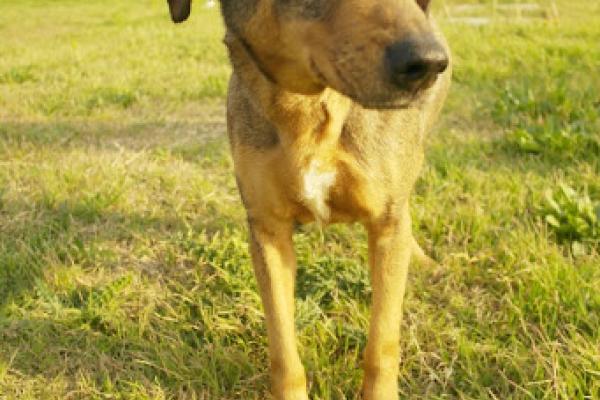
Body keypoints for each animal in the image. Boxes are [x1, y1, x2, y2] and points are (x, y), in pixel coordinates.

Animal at [166, 1, 448, 398]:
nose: (429, 62)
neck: (309, 110)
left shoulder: (386, 220)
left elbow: (382, 344)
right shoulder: (268, 231)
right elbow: (284, 352)